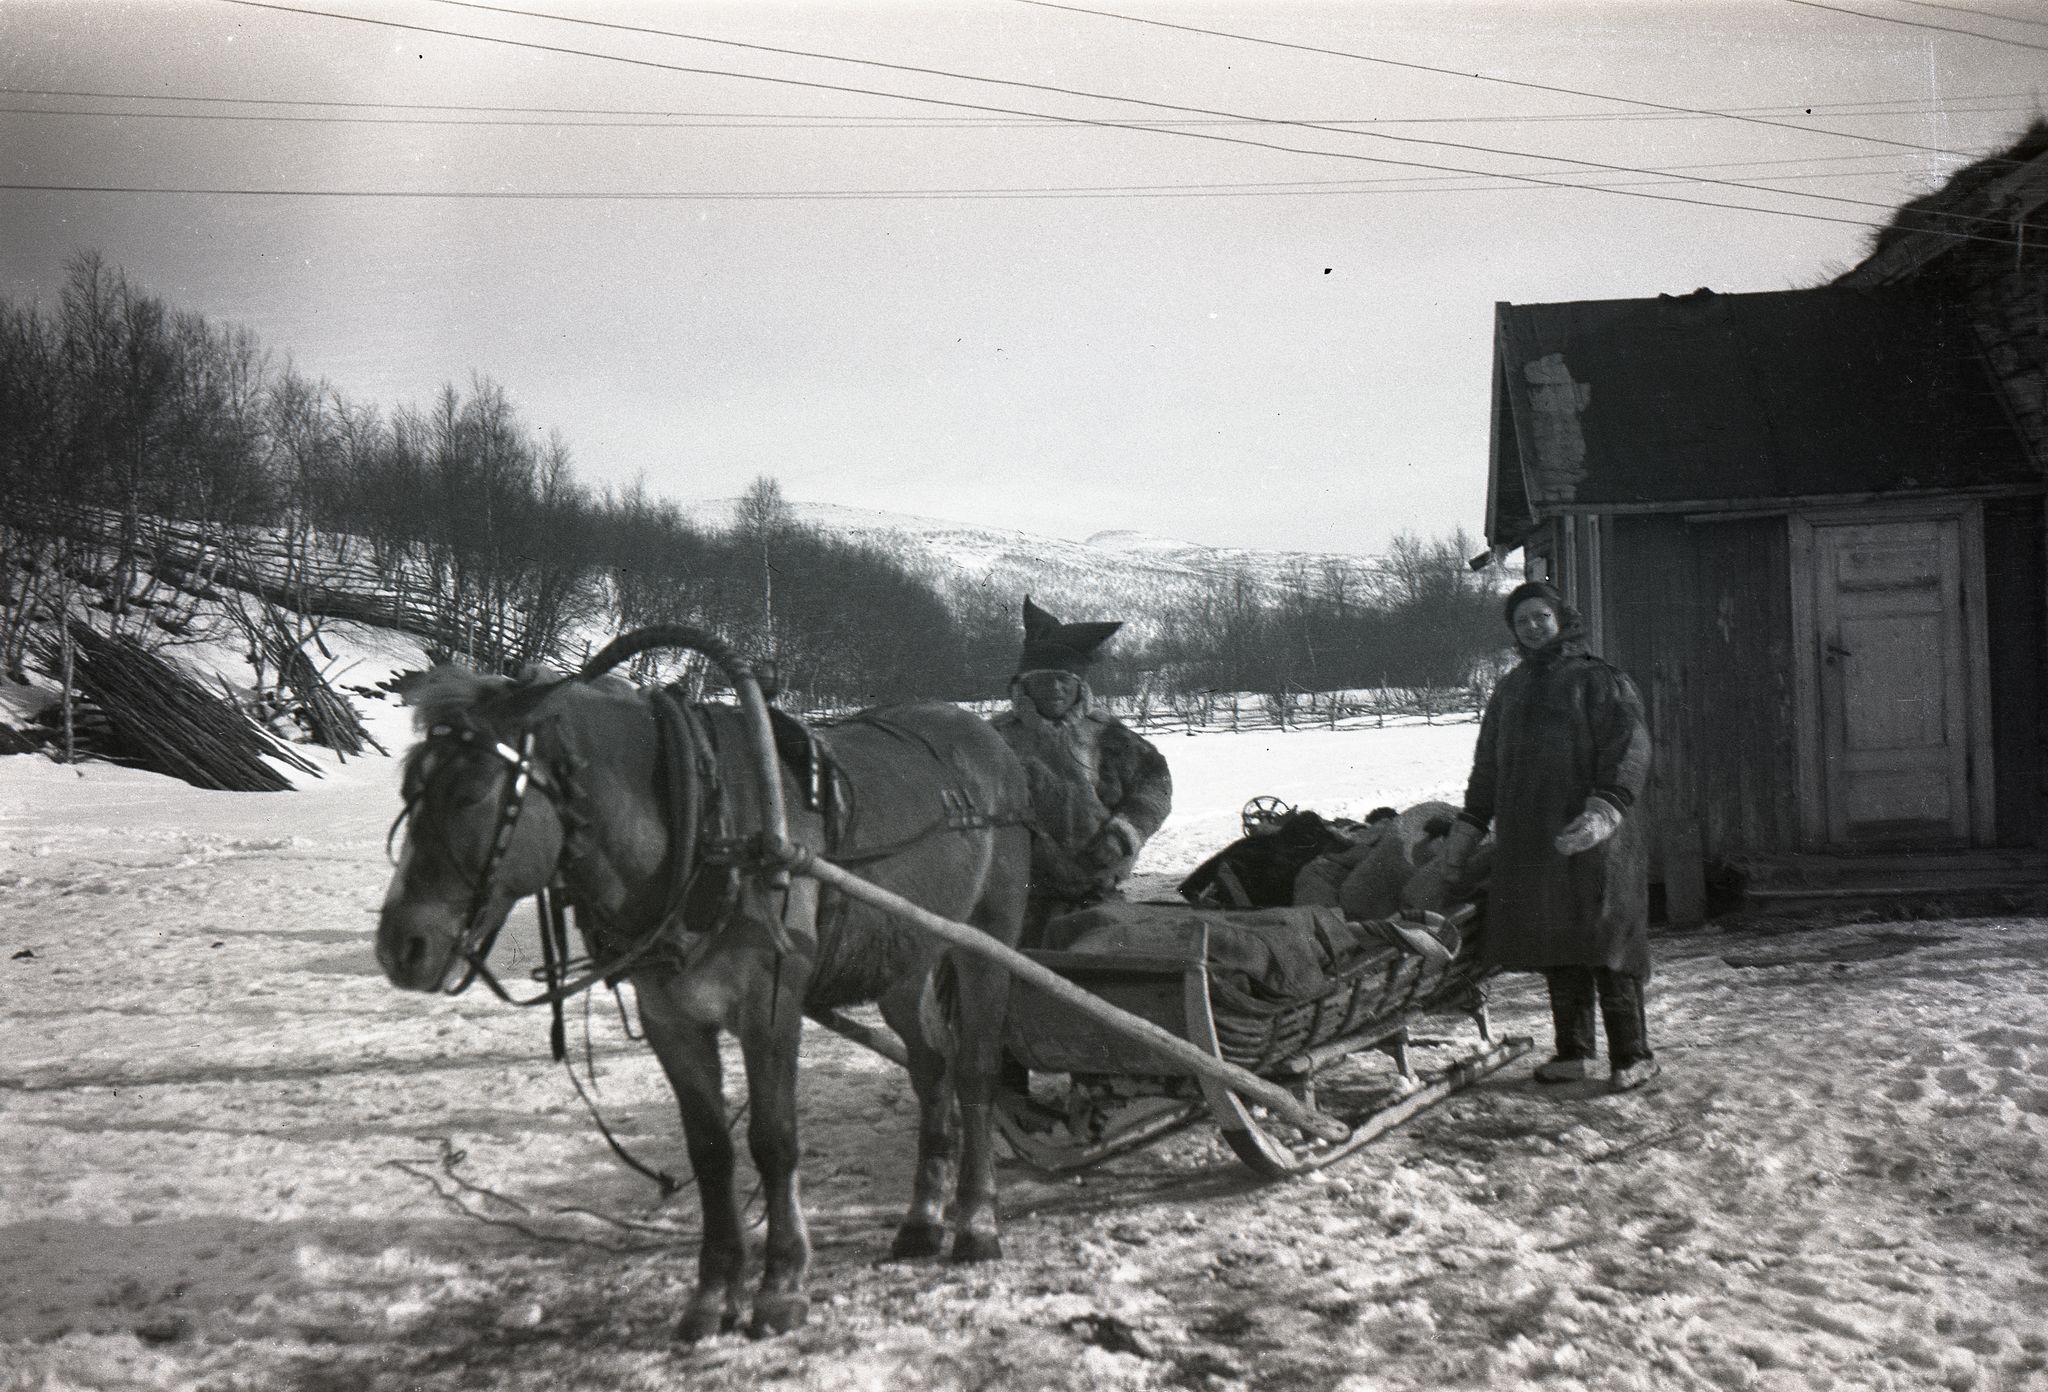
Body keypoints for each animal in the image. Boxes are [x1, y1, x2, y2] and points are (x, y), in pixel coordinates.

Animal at [374, 626, 1032, 1334]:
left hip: (988, 943)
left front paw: (782, 1286)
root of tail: (990, 739)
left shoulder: (771, 1007)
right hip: (902, 962)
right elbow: (711, 1151)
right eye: (409, 791)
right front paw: (713, 1295)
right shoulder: (671, 1018)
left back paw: (976, 1224)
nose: (400, 948)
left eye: (471, 794)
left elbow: (773, 1140)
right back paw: (921, 1222)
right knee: (932, 1068)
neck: (701, 832)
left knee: (974, 1072)